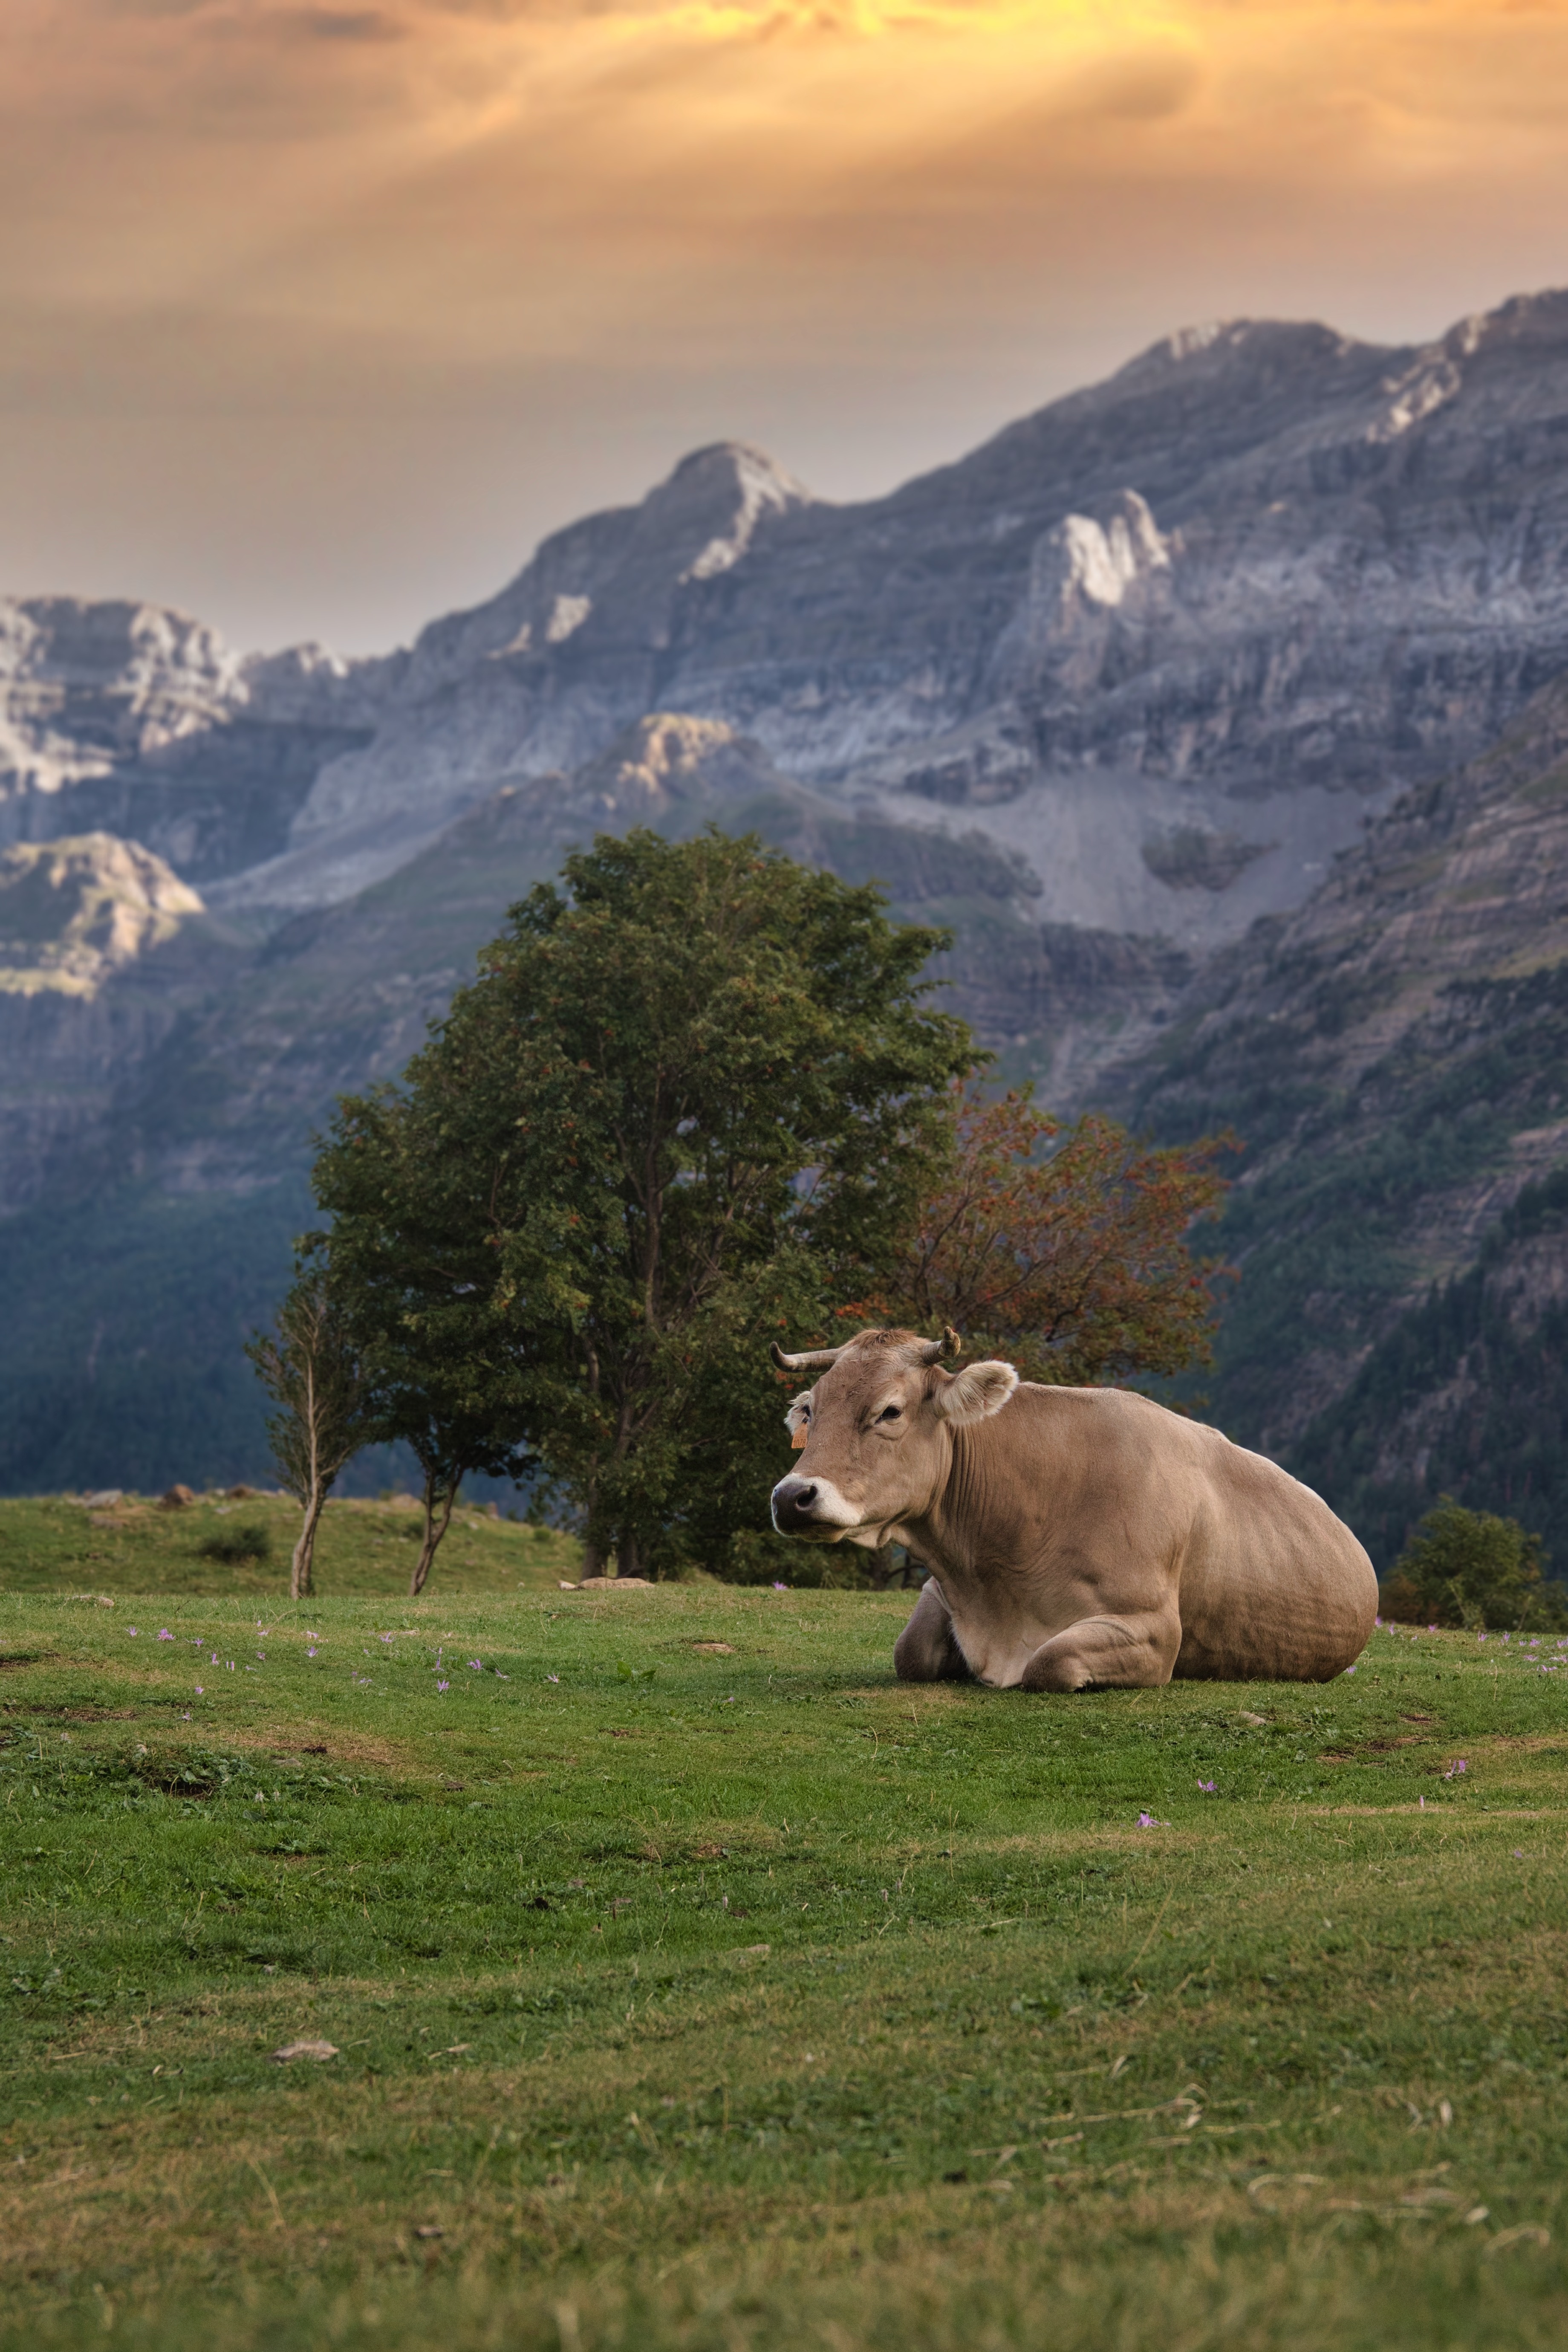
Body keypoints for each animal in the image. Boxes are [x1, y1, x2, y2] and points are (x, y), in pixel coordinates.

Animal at [768, 1327, 1376, 1689]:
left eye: (890, 1411)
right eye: (811, 1411)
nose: (791, 1497)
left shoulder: (1154, 1629)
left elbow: (1050, 1661)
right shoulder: (941, 1591)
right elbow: (910, 1653)